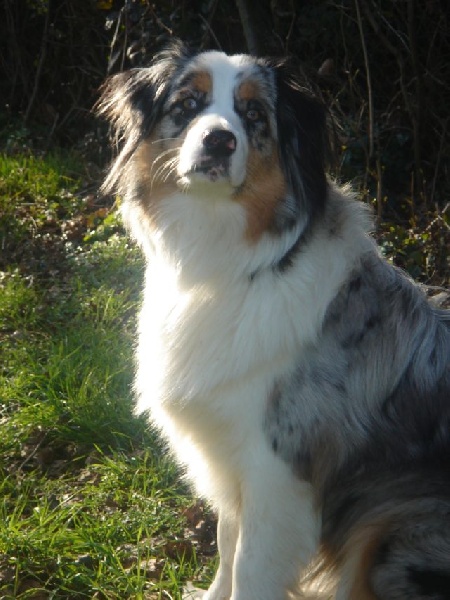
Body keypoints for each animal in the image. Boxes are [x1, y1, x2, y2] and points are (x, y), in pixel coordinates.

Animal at [98, 42, 450, 600]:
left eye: (254, 114)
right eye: (188, 103)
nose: (219, 140)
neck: (225, 260)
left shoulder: (278, 474)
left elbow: (250, 570)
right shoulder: (230, 456)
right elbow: (226, 545)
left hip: (391, 528)